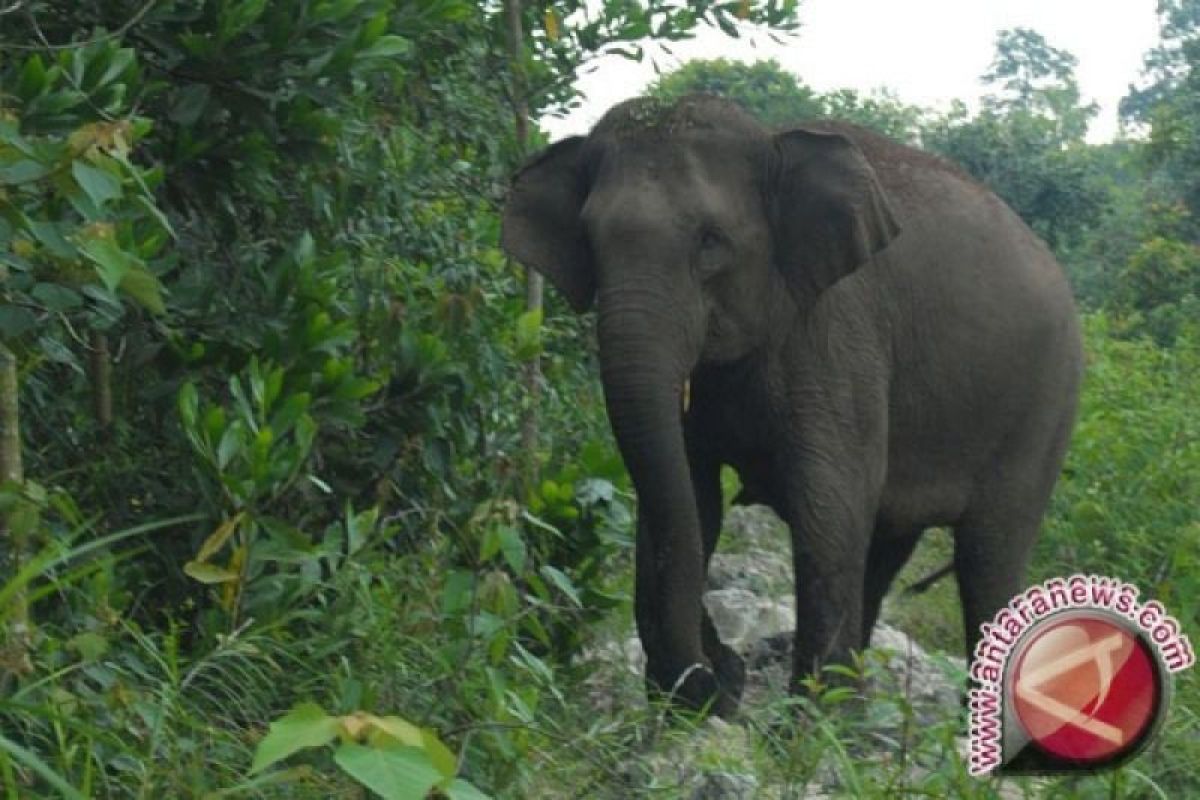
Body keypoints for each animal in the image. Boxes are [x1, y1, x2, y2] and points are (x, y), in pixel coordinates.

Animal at [501, 95, 1084, 719]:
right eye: (588, 239)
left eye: (711, 242)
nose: (719, 677)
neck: (772, 140)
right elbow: (692, 495)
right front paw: (700, 702)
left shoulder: (838, 332)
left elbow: (827, 502)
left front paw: (797, 725)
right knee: (885, 548)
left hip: (1046, 408)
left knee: (986, 557)